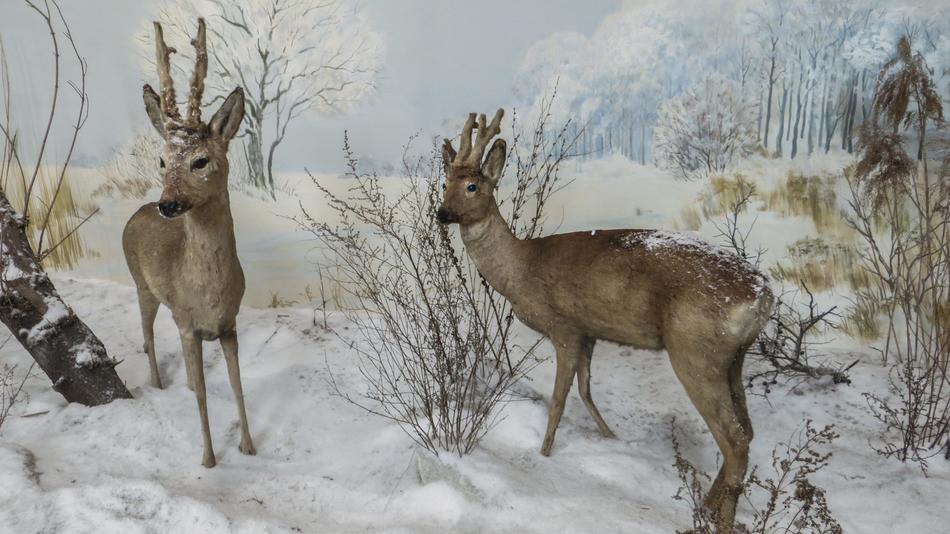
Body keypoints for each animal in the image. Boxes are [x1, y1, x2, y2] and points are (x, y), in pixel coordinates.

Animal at [122, 18, 254, 468]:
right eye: (162, 160)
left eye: (201, 161)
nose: (169, 204)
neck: (209, 293)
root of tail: (138, 211)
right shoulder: (188, 325)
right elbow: (202, 398)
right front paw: (209, 460)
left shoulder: (230, 325)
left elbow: (237, 385)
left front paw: (249, 447)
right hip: (140, 284)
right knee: (146, 334)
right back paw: (159, 385)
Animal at [437, 109, 774, 531]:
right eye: (444, 183)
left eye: (472, 186)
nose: (441, 213)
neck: (520, 270)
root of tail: (763, 293)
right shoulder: (589, 331)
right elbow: (586, 390)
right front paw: (610, 436)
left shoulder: (563, 325)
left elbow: (559, 399)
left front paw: (544, 453)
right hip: (734, 358)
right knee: (748, 431)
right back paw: (709, 508)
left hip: (696, 351)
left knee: (735, 440)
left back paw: (714, 518)